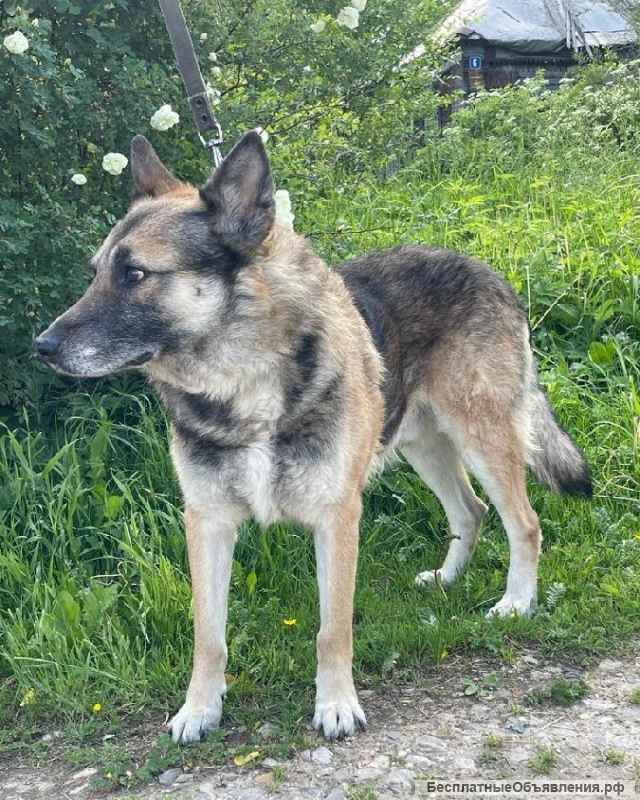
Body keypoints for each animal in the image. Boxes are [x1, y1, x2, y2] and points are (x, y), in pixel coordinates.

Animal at [35, 131, 591, 743]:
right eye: (96, 272)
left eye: (134, 274)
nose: (42, 347)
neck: (245, 386)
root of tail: (486, 270)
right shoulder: (208, 522)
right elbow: (209, 635)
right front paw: (199, 709)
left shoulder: (337, 516)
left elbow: (332, 629)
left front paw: (336, 704)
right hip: (422, 445)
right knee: (470, 511)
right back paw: (447, 579)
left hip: (482, 437)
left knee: (524, 523)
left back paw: (516, 602)